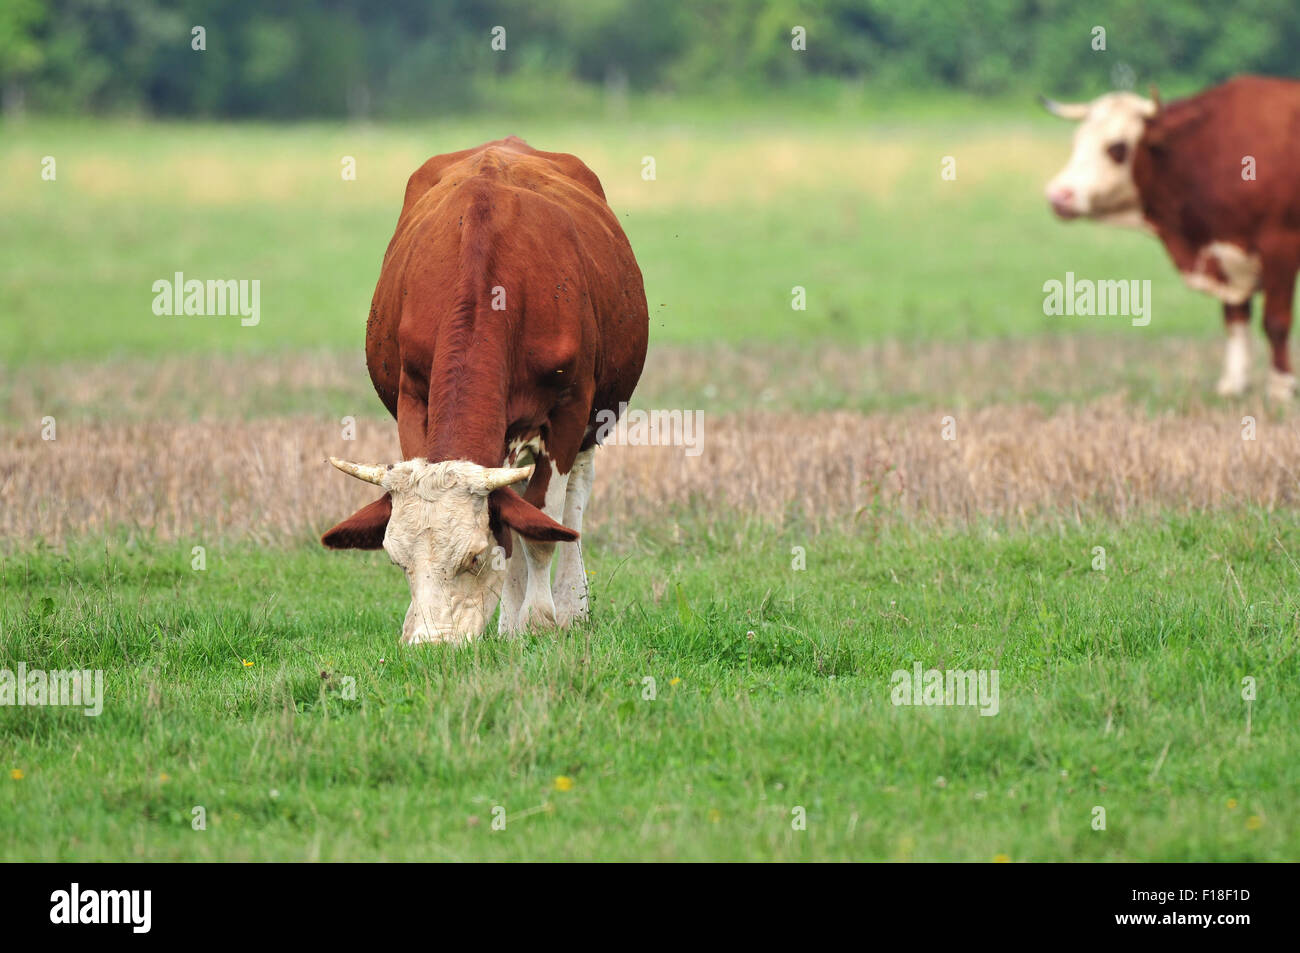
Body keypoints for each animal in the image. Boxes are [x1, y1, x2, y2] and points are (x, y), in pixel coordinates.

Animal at [322, 137, 647, 642]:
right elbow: (513, 522)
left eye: (473, 557)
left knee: (570, 505)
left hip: (593, 421)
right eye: (396, 560)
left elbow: (541, 523)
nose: (430, 646)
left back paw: (569, 605)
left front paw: (539, 620)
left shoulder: (570, 412)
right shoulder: (413, 399)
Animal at [1040, 76, 1300, 400]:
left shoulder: (1280, 245)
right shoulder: (1224, 255)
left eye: (1117, 147)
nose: (1058, 195)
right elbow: (1235, 319)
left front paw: (1281, 387)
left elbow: (1275, 321)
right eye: (1077, 142)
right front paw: (1233, 383)